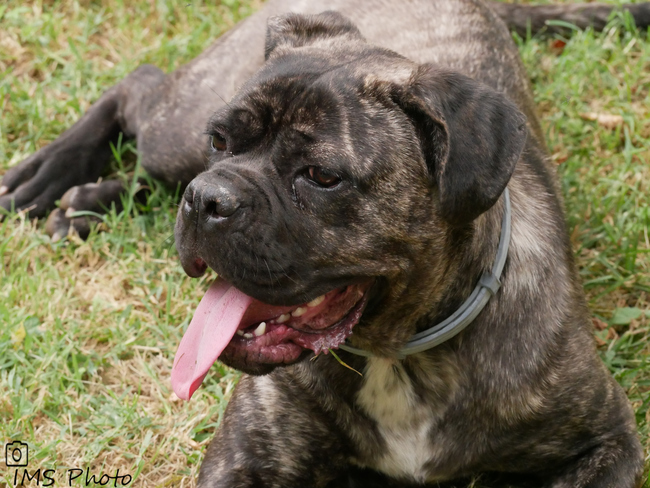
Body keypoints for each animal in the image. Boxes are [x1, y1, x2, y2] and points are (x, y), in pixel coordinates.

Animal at [2, 0, 644, 488]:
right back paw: (43, 176)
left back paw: (83, 202)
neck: (399, 356)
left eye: (321, 176)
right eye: (221, 140)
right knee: (139, 86)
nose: (209, 198)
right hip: (178, 133)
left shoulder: (608, 440)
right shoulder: (246, 457)